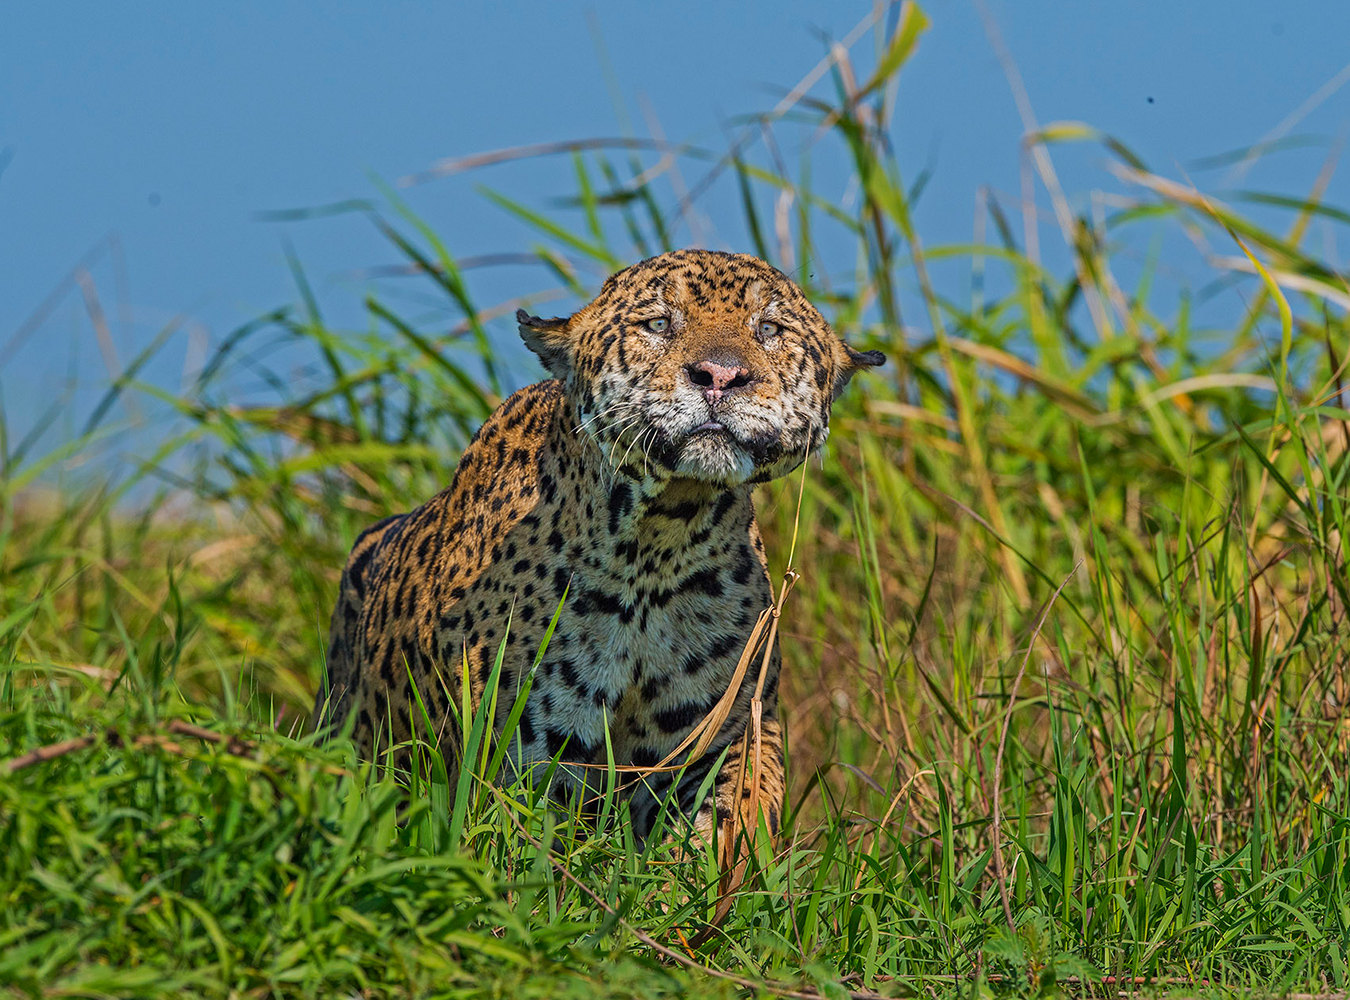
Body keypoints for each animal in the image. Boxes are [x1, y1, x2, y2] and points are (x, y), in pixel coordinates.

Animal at [315, 248, 884, 846]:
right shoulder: (521, 756)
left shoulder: (731, 729)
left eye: (769, 330)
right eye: (657, 324)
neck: (656, 548)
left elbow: (735, 808)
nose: (721, 376)